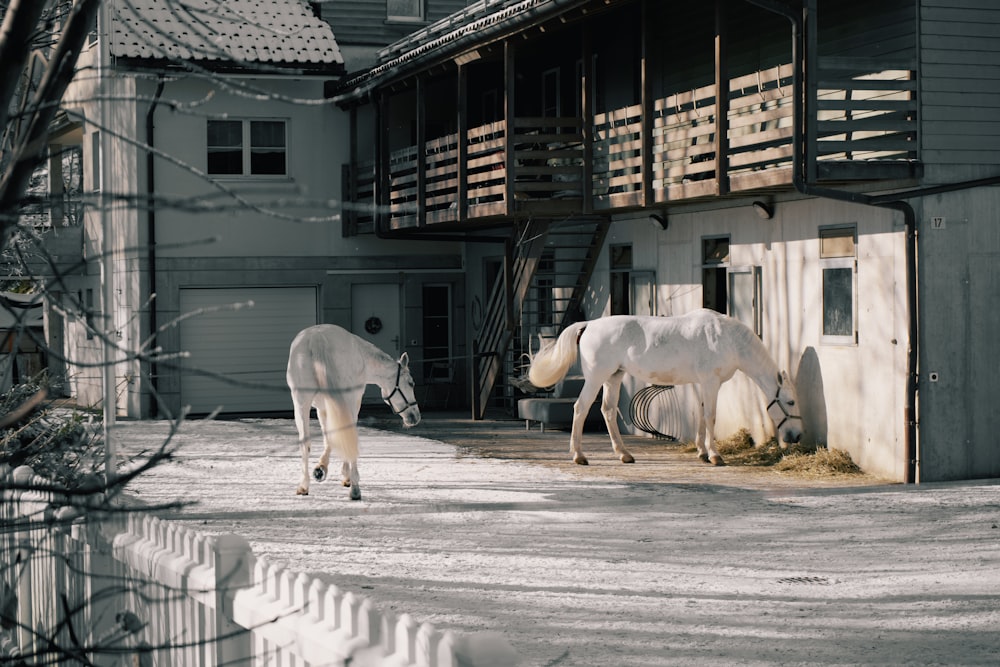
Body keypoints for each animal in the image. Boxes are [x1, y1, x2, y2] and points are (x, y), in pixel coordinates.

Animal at [288, 324, 420, 500]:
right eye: (411, 383)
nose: (415, 417)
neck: (363, 357)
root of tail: (317, 338)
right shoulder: (352, 404)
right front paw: (345, 476)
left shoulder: (323, 407)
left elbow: (329, 437)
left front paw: (321, 469)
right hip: (345, 403)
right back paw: (355, 489)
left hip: (301, 403)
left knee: (305, 443)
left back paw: (304, 486)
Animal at [528, 310, 800, 468]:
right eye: (791, 402)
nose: (796, 437)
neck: (726, 339)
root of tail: (589, 325)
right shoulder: (711, 383)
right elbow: (710, 416)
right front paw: (715, 455)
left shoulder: (701, 384)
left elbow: (701, 416)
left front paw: (702, 452)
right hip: (596, 377)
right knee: (581, 408)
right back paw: (579, 456)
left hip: (614, 377)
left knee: (607, 410)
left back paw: (624, 454)